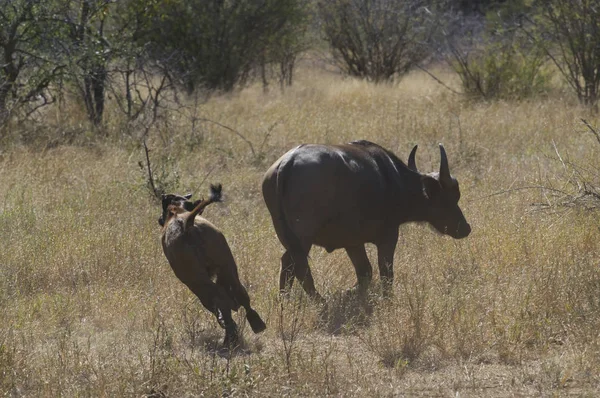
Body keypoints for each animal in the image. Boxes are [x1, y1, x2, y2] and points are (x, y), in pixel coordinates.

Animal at [262, 140, 468, 302]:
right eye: (448, 198)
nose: (465, 228)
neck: (393, 179)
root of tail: (287, 163)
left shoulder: (352, 242)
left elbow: (365, 272)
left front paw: (349, 292)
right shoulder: (388, 236)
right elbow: (386, 273)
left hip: (287, 235)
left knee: (288, 264)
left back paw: (284, 300)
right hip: (303, 237)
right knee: (298, 265)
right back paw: (320, 300)